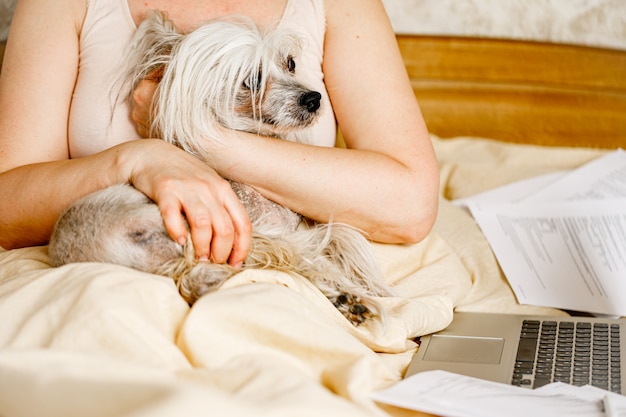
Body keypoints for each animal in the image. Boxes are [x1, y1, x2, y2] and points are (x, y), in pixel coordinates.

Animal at [47, 9, 390, 324]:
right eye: (252, 80)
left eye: (290, 63)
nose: (314, 98)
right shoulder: (276, 234)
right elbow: (335, 238)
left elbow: (339, 237)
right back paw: (344, 297)